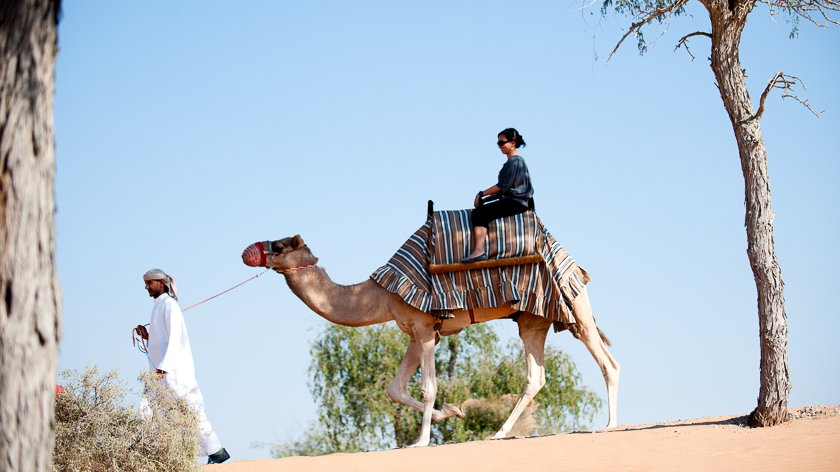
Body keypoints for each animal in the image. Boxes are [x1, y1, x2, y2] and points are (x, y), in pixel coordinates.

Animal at [243, 235, 620, 447]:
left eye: (279, 245)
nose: (249, 251)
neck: (380, 294)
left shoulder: (424, 326)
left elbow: (428, 387)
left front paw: (421, 441)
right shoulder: (415, 331)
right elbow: (395, 389)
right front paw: (450, 412)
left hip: (575, 304)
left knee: (607, 362)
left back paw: (610, 426)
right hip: (533, 320)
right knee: (536, 376)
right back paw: (499, 433)